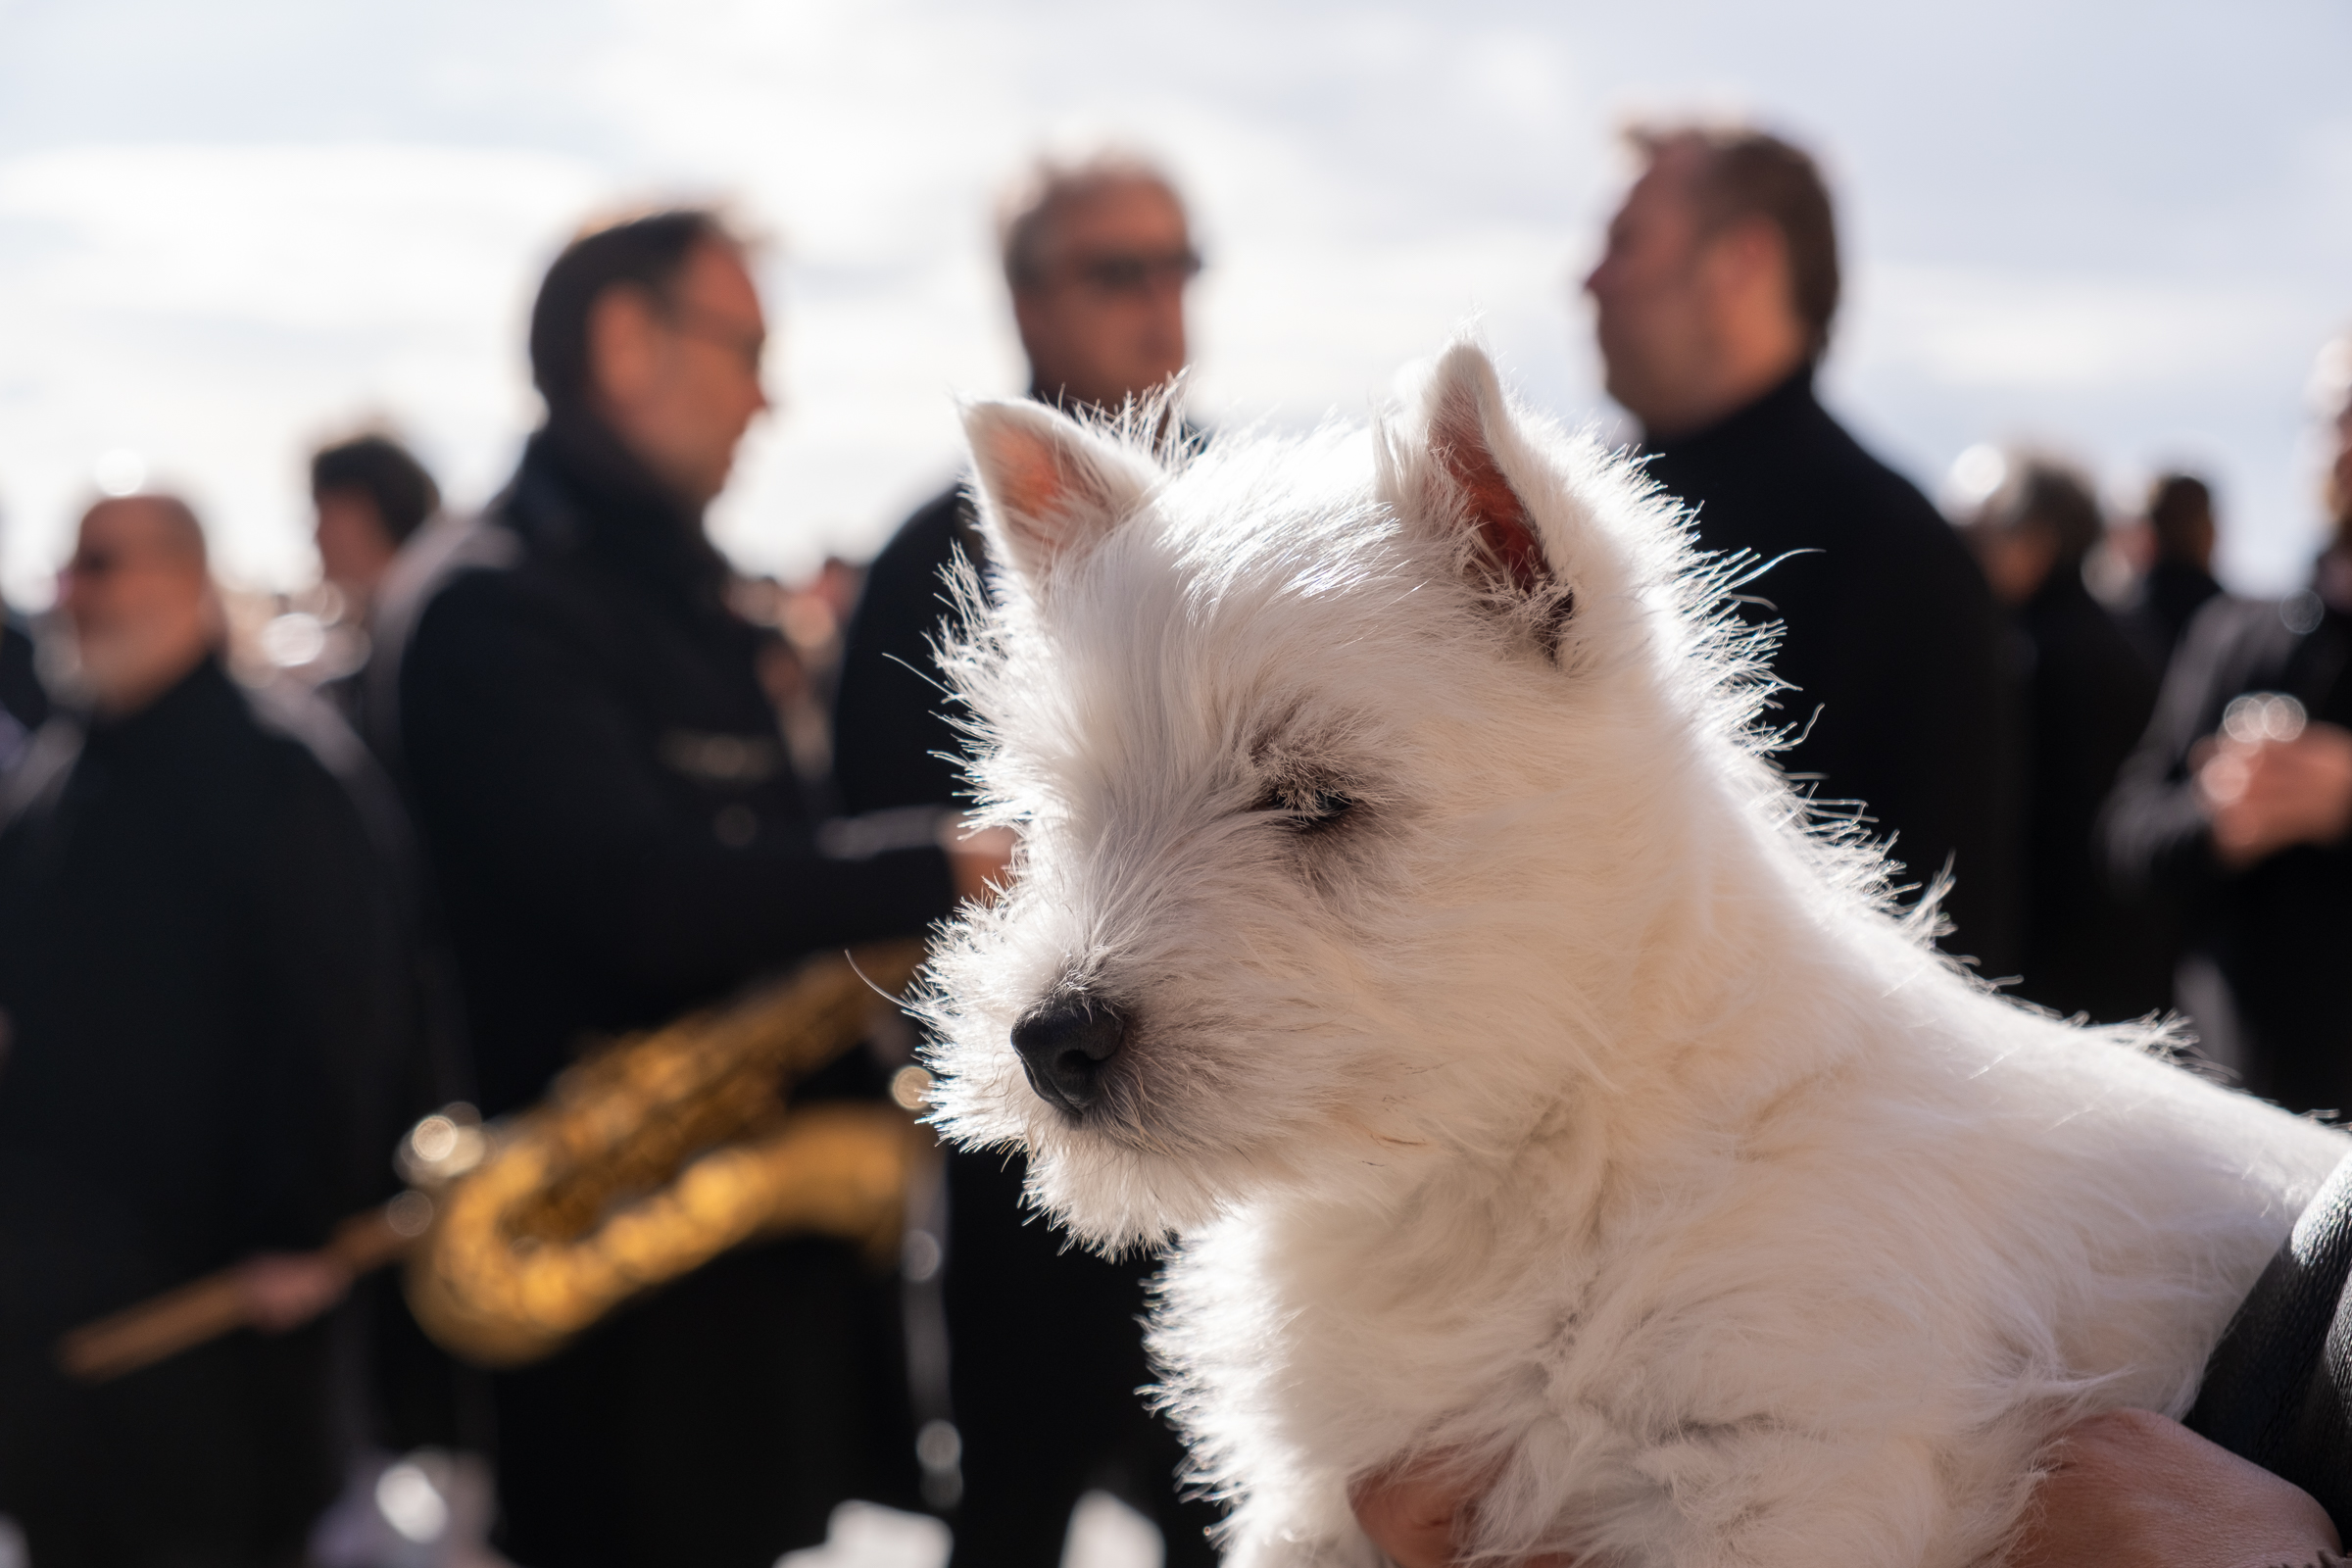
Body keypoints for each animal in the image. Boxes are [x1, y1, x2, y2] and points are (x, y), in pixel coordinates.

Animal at [907, 345, 2342, 1568]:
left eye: (1317, 800)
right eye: (1060, 818)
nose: (1051, 1041)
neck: (1520, 1177)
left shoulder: (1786, 1473)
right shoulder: (1330, 1503)